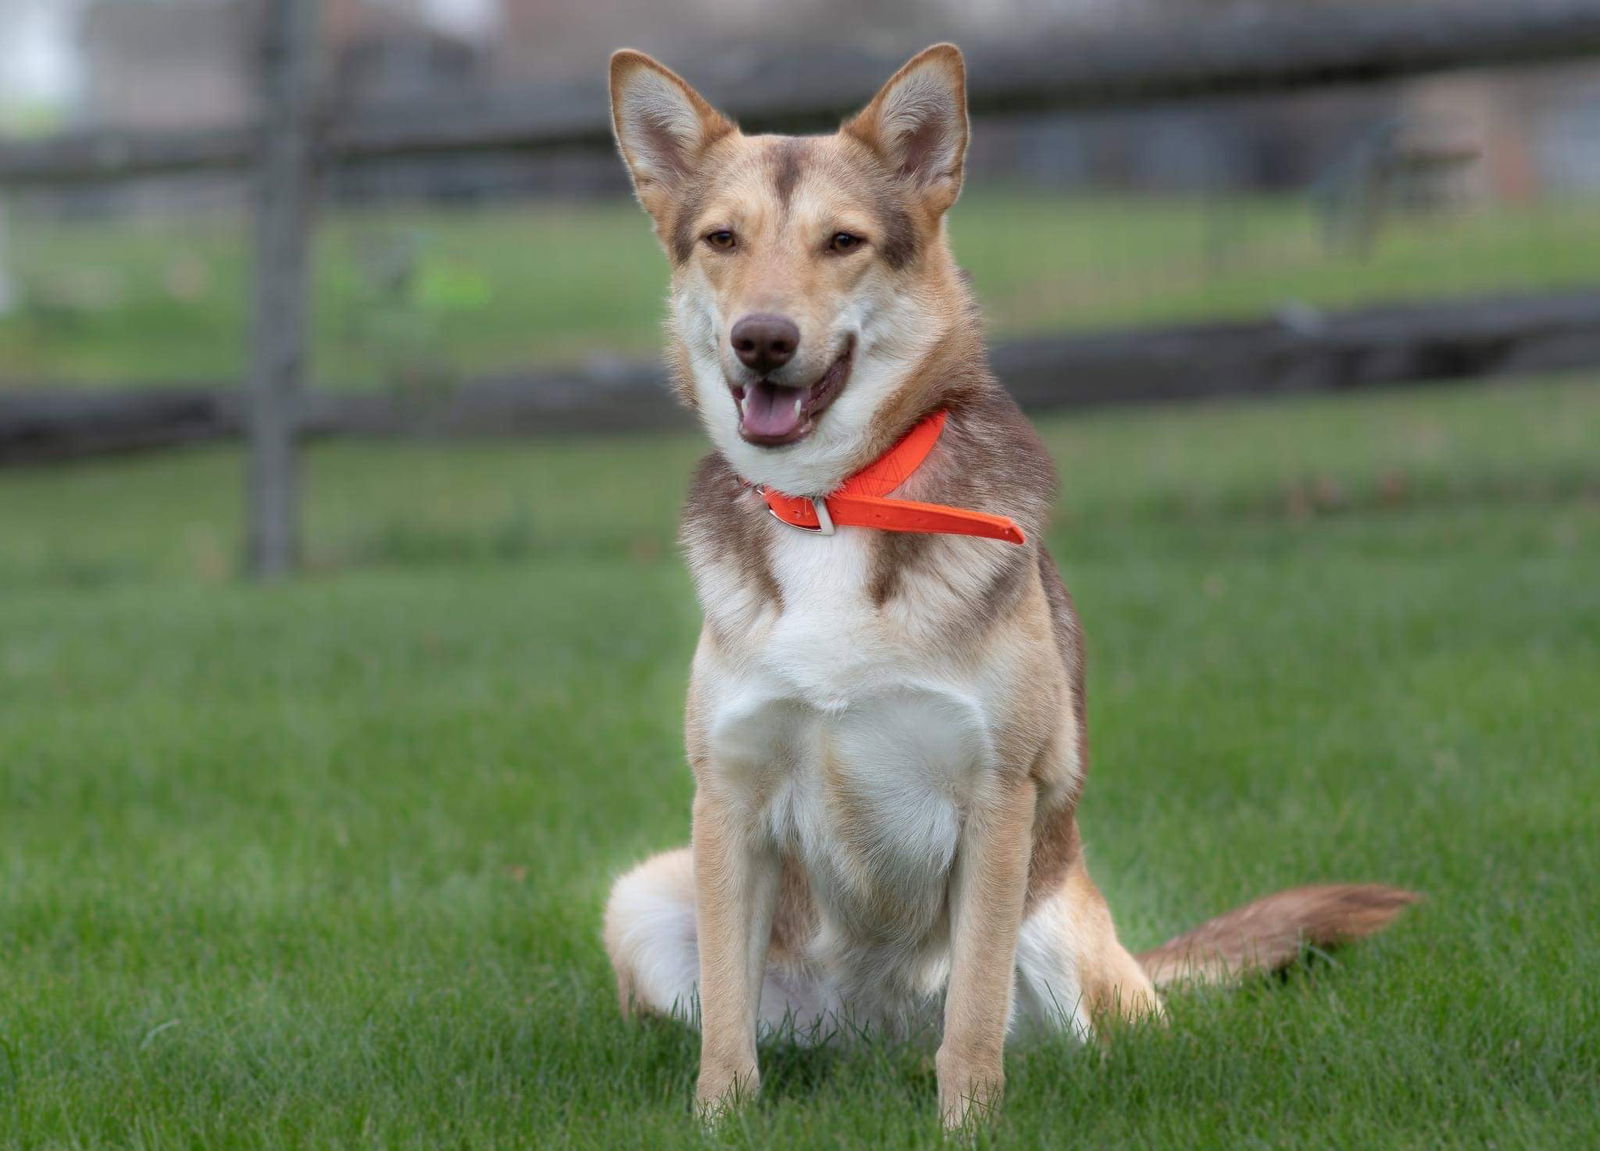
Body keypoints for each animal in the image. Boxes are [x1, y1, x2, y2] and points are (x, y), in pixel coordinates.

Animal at [601, 42, 1414, 1126]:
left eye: (843, 241)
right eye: (721, 239)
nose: (761, 339)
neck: (834, 505)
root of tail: (868, 1041)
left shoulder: (994, 797)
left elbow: (975, 1011)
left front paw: (967, 1124)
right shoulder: (725, 796)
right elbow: (727, 1025)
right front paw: (720, 1118)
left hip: (1057, 920)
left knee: (1074, 1041)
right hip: (648, 890)